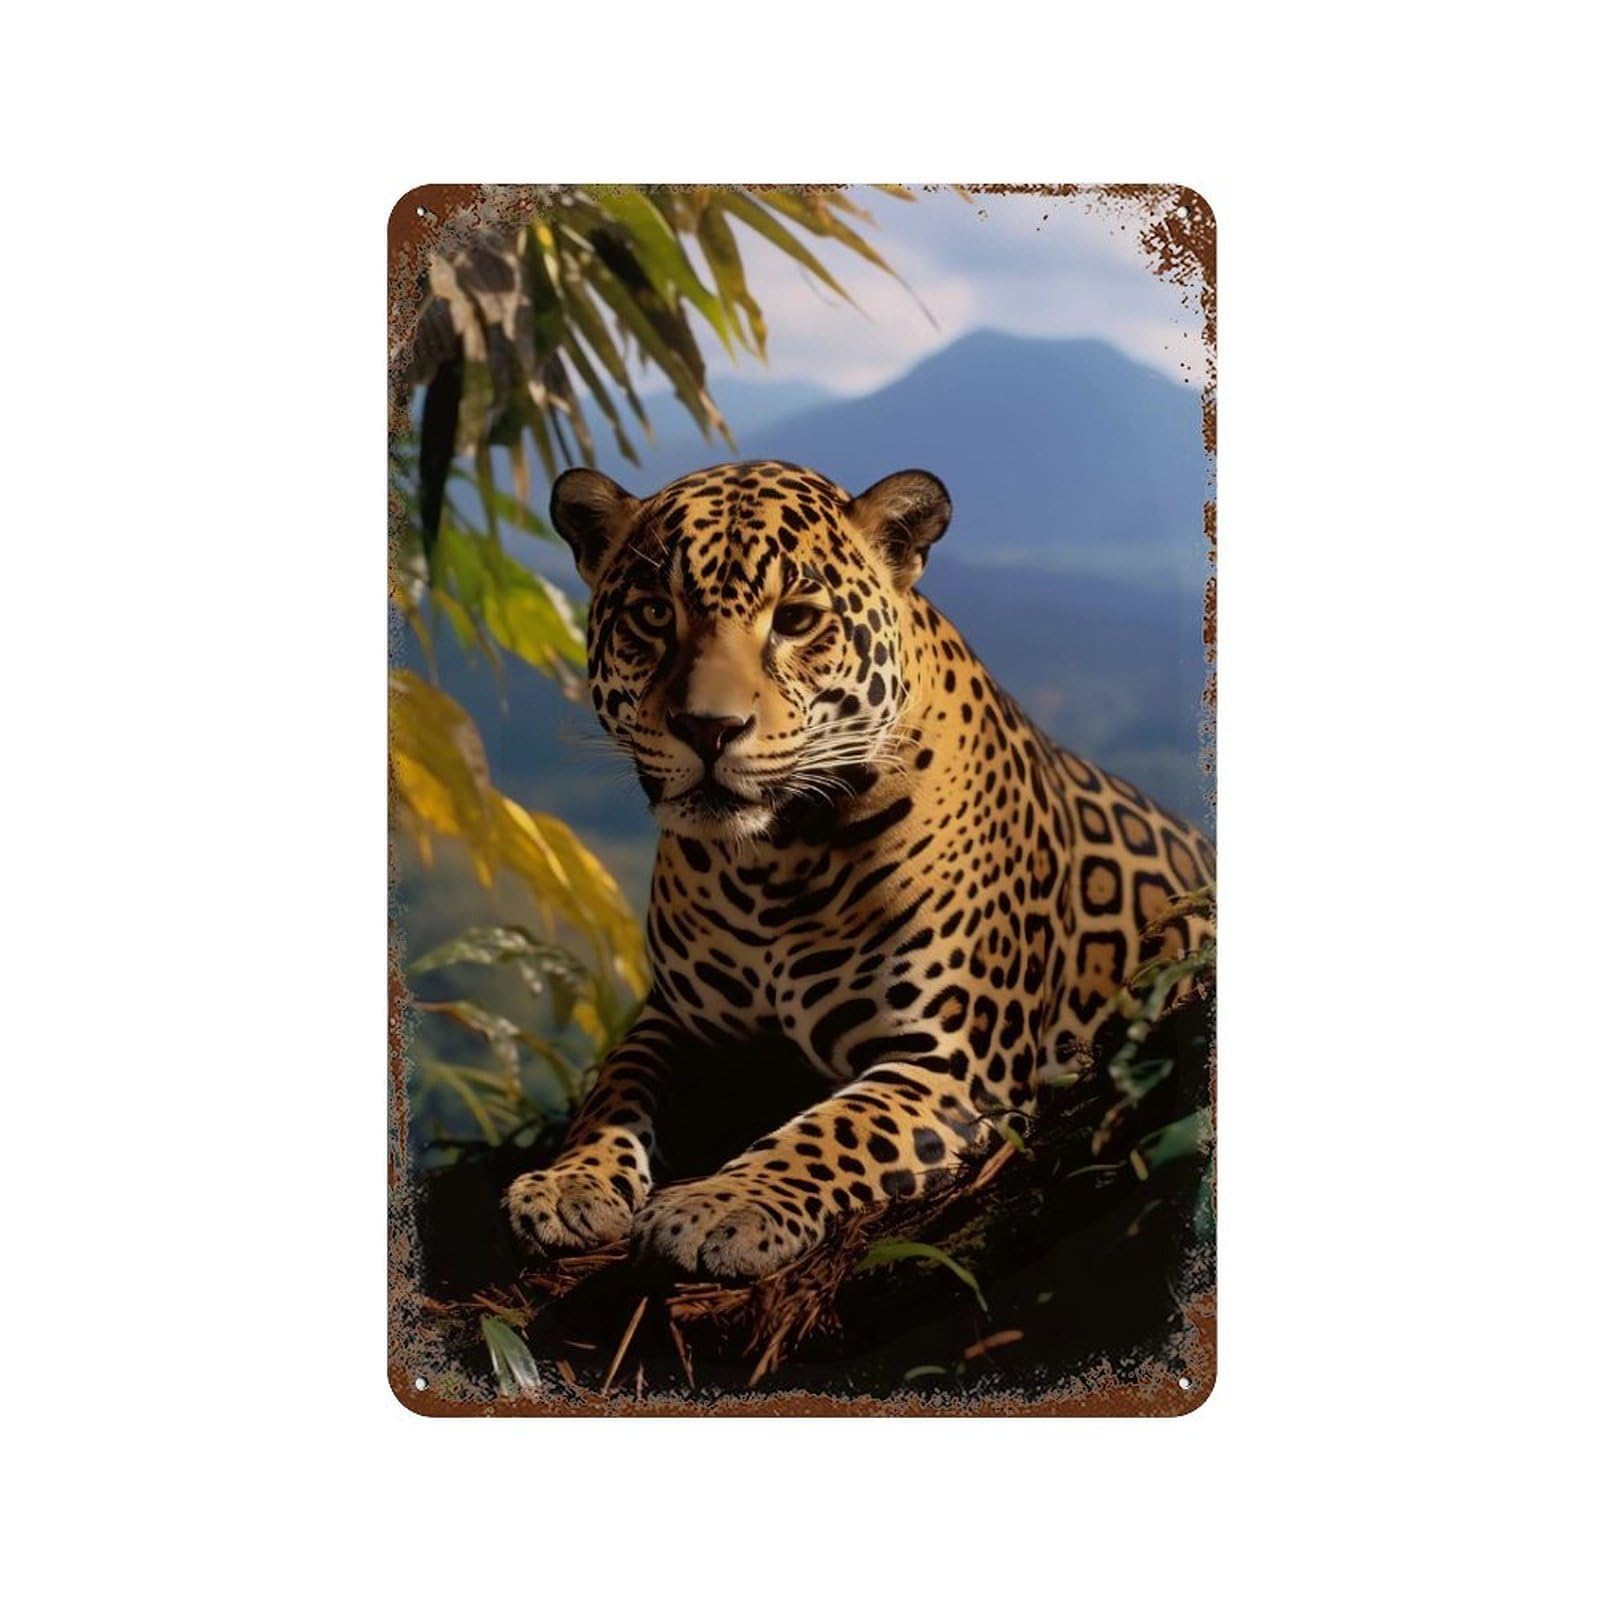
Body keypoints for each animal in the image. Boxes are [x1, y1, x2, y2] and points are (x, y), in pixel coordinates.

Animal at [504, 459, 1214, 1280]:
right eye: (653, 613)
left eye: (795, 619)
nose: (708, 729)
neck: (769, 865)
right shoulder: (680, 1021)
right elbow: (615, 1087)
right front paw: (569, 1182)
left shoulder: (951, 1065)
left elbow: (830, 1131)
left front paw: (720, 1206)